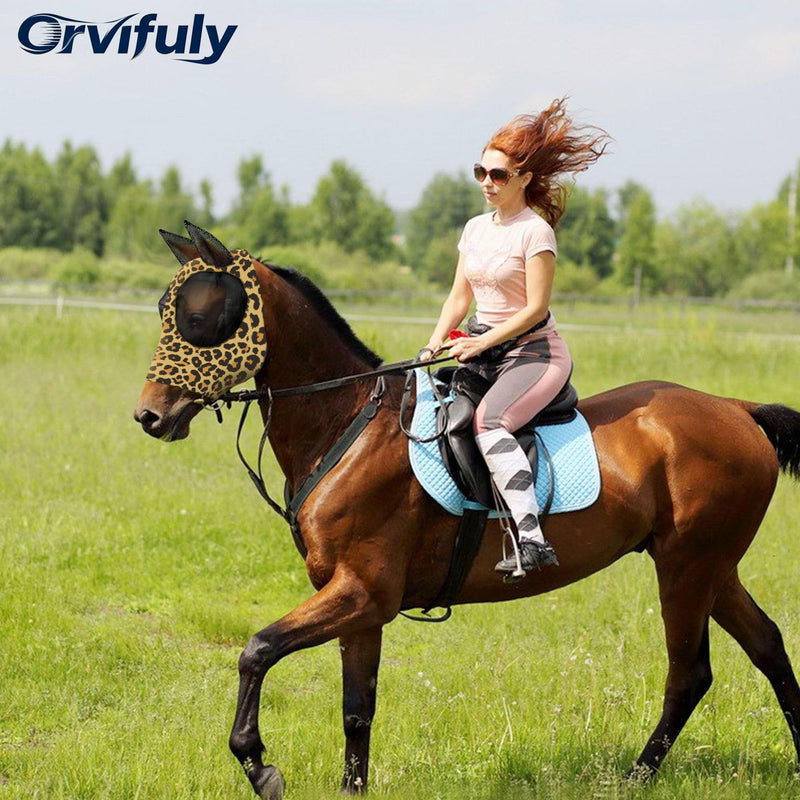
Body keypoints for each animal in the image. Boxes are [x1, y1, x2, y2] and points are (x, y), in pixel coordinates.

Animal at [135, 222, 800, 800]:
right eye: (165, 312)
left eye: (199, 319)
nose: (149, 416)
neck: (346, 423)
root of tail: (737, 409)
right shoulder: (357, 604)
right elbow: (357, 709)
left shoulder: (363, 593)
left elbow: (257, 650)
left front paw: (258, 763)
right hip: (712, 568)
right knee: (767, 645)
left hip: (687, 569)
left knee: (689, 673)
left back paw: (635, 779)